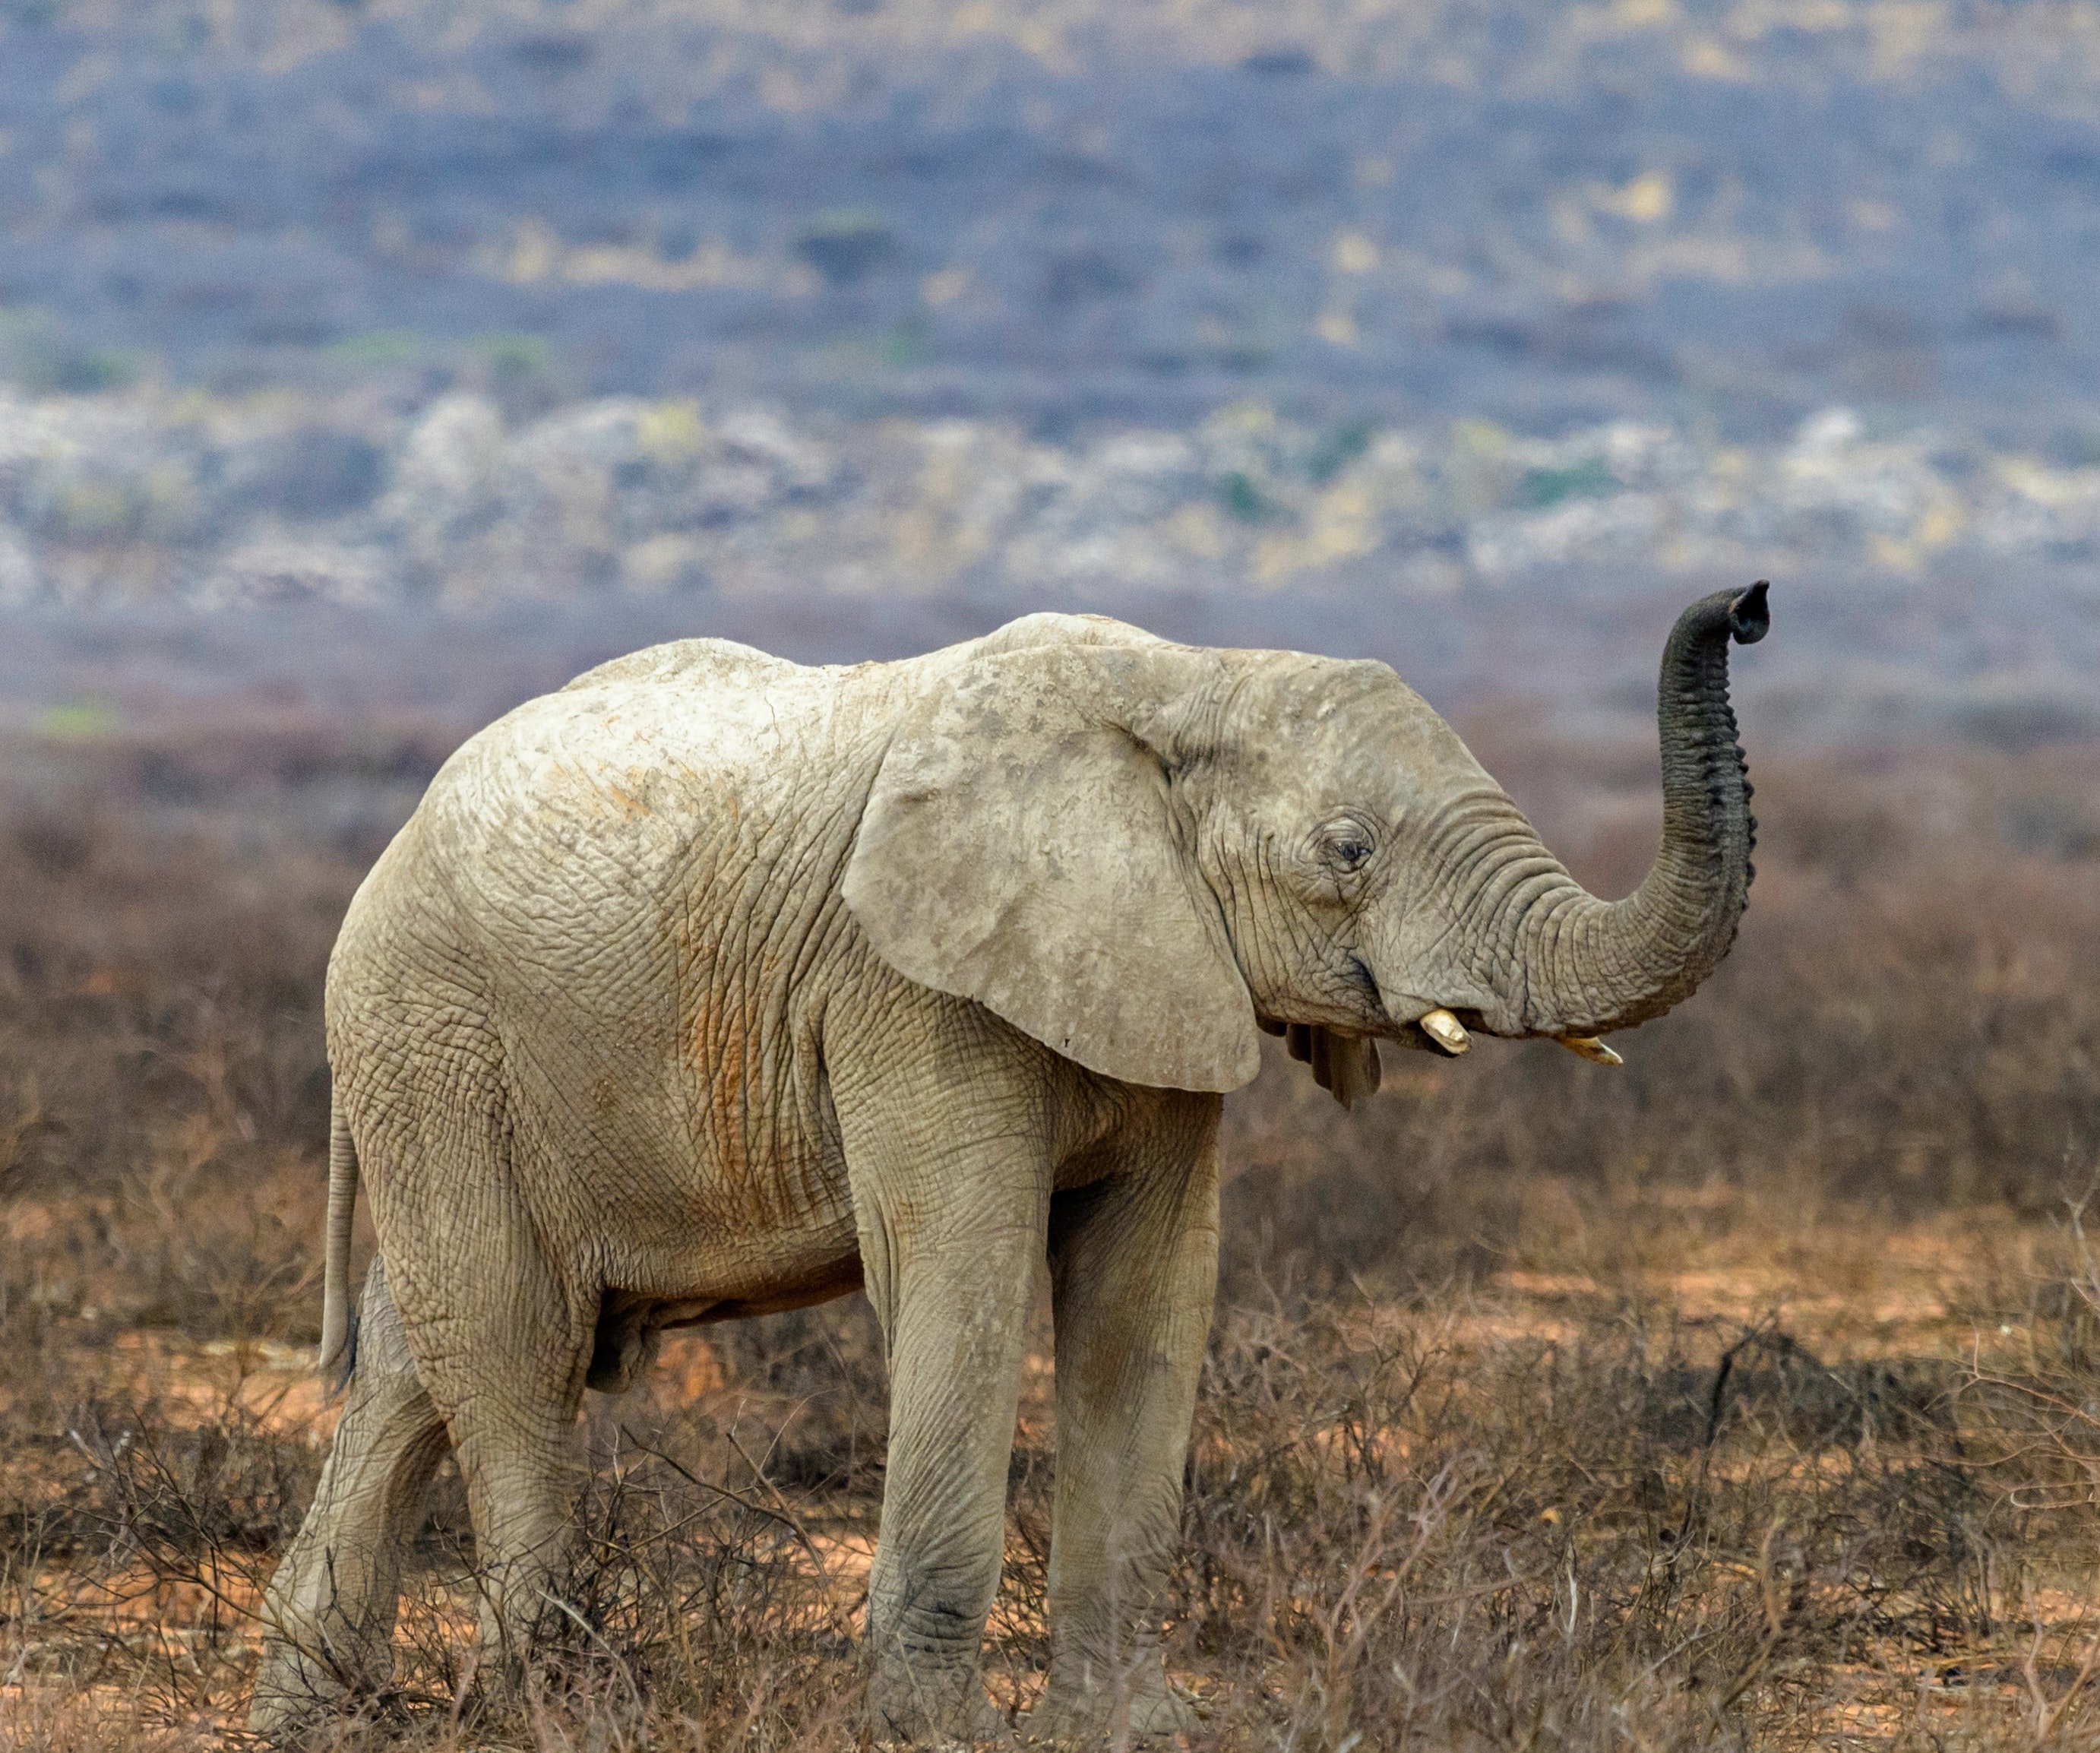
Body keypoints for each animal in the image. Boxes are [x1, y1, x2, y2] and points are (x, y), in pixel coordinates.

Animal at [249, 584, 1772, 1738]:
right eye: (1347, 849)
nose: (1747, 604)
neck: (1187, 682)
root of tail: (391, 844)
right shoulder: (906, 986)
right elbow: (959, 1270)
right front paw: (935, 1731)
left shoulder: (1160, 974)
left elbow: (1148, 1295)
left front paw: (1130, 1725)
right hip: (430, 1034)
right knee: (516, 1344)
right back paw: (537, 1699)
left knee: (415, 1359)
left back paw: (313, 1715)